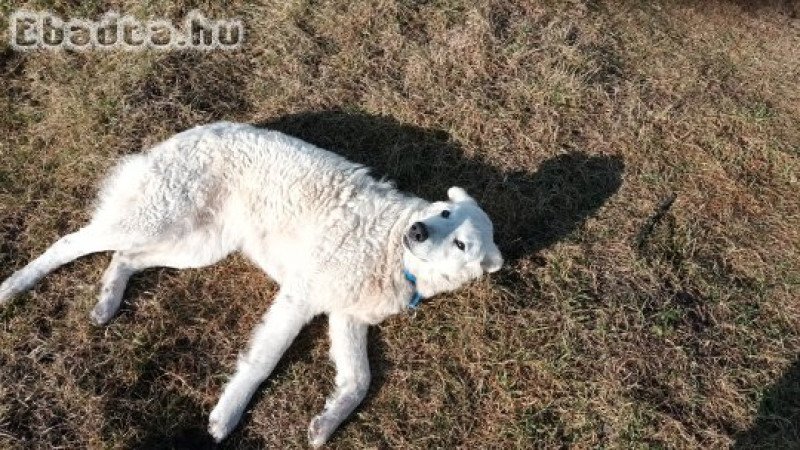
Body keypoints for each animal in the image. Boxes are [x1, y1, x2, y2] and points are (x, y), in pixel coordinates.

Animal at [0, 120, 500, 446]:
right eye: (442, 212)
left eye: (461, 243)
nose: (417, 231)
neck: (392, 254)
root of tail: (192, 130)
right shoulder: (299, 298)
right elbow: (262, 362)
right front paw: (227, 415)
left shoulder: (344, 316)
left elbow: (359, 381)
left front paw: (325, 425)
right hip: (157, 221)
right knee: (72, 241)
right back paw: (14, 286)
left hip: (196, 245)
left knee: (124, 259)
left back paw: (106, 301)